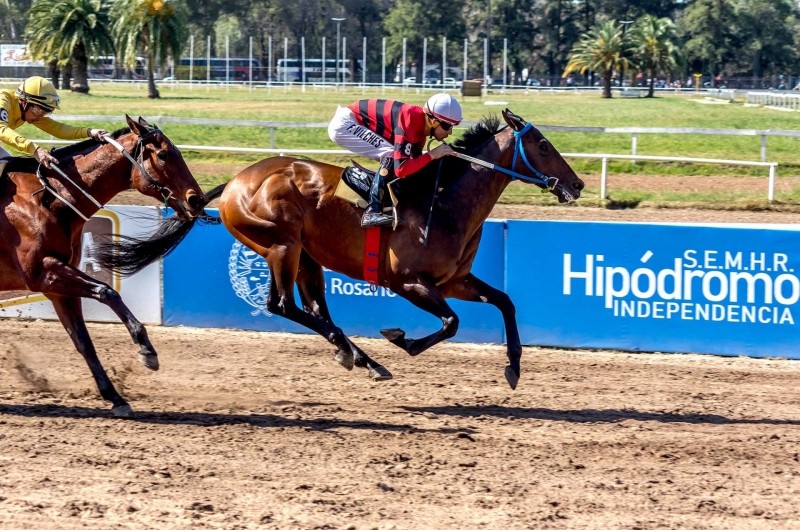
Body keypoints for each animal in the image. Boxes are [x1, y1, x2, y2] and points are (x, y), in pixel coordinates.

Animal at [0, 114, 206, 412]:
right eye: (164, 154)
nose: (197, 199)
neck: (48, 199)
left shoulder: (56, 285)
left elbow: (83, 341)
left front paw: (115, 397)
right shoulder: (41, 273)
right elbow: (107, 291)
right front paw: (146, 349)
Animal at [103, 108, 584, 388]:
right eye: (543, 145)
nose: (577, 185)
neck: (445, 199)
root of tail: (236, 182)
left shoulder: (454, 280)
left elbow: (504, 301)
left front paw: (514, 366)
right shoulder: (408, 282)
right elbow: (451, 323)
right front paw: (401, 339)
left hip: (306, 256)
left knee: (314, 308)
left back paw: (357, 356)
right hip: (282, 245)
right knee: (283, 305)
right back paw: (360, 355)